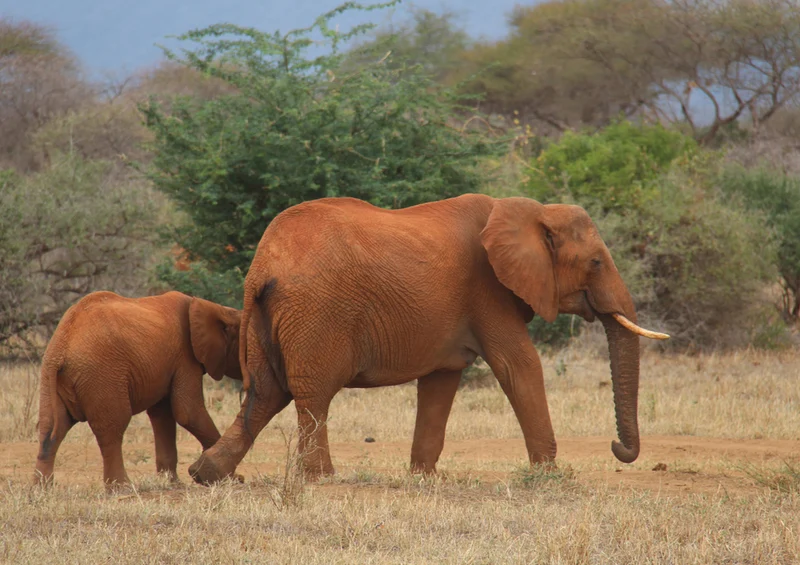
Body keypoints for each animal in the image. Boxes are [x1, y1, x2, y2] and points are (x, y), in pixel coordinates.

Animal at [33, 290, 242, 491]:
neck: (216, 309)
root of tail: (61, 348)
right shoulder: (185, 357)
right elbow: (188, 412)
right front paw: (232, 479)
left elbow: (163, 416)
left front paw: (173, 484)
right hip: (101, 375)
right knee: (112, 428)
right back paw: (122, 487)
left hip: (51, 378)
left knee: (51, 429)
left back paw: (42, 489)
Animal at [188, 194, 668, 484]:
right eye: (596, 262)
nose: (618, 448)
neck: (530, 210)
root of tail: (262, 267)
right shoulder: (488, 291)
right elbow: (519, 366)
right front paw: (551, 476)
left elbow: (441, 382)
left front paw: (424, 478)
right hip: (317, 313)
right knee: (311, 395)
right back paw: (320, 478)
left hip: (268, 320)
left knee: (265, 394)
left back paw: (207, 474)